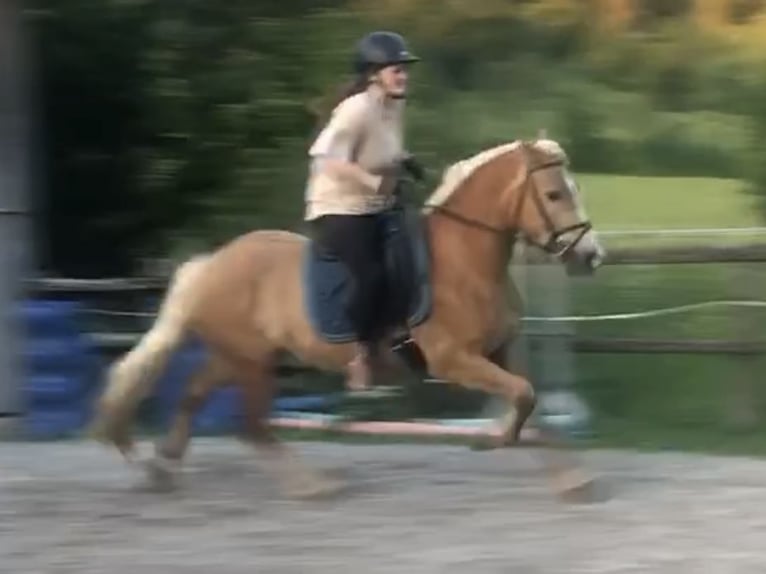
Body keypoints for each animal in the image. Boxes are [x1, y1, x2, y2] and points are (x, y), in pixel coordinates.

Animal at [90, 136, 606, 499]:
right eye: (554, 194)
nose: (591, 257)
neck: (464, 262)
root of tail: (212, 262)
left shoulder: (499, 353)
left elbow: (529, 400)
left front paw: (567, 478)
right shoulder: (455, 361)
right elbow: (522, 397)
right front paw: (500, 441)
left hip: (237, 356)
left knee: (194, 397)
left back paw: (161, 470)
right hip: (251, 363)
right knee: (250, 424)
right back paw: (311, 486)